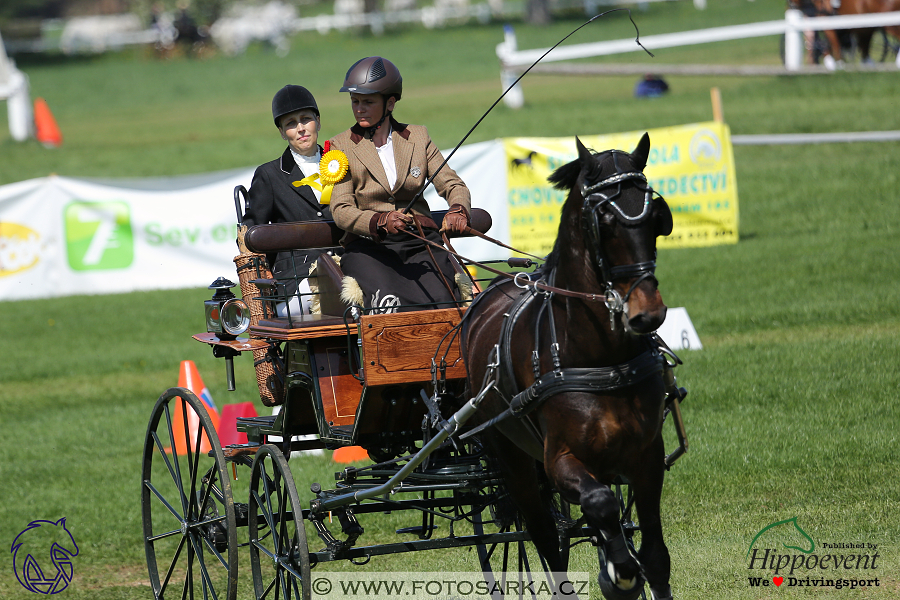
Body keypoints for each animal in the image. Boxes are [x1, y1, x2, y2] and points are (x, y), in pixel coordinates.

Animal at [464, 135, 676, 600]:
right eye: (605, 222)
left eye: (656, 219)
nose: (647, 314)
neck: (600, 358)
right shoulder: (560, 459)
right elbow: (600, 505)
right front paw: (620, 571)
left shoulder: (647, 455)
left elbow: (655, 555)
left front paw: (626, 568)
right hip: (515, 461)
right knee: (546, 537)